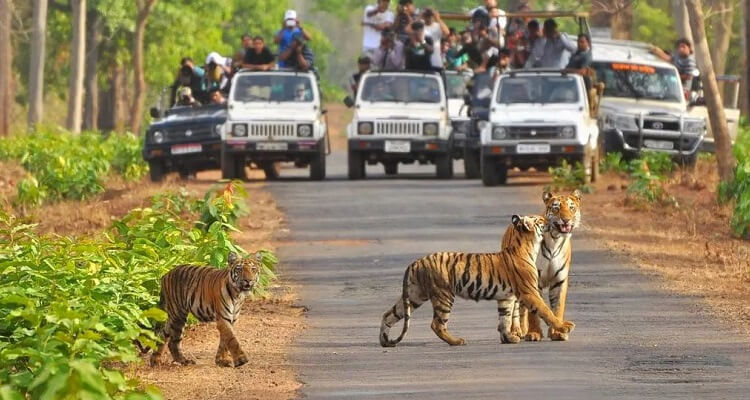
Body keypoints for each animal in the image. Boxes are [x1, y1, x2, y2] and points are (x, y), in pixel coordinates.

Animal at [378, 216, 580, 346]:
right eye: (540, 220)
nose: (550, 221)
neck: (527, 245)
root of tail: (416, 262)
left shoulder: (506, 297)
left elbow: (504, 318)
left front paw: (508, 338)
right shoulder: (529, 292)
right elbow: (546, 311)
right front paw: (564, 326)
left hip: (415, 295)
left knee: (388, 314)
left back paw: (384, 341)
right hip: (443, 295)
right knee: (437, 324)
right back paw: (457, 341)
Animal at [520, 190, 584, 340]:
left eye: (571, 208)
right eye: (556, 208)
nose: (566, 220)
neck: (555, 239)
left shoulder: (559, 280)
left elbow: (558, 307)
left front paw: (558, 332)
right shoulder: (534, 280)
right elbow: (534, 310)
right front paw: (534, 333)